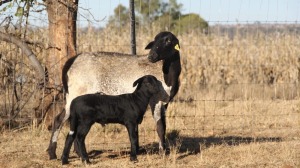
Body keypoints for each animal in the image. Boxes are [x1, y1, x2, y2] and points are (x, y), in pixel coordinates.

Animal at [48, 31, 182, 159]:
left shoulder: (165, 102)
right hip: (76, 93)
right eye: (154, 41)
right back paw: (54, 153)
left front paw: (165, 150)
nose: (151, 56)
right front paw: (162, 152)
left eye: (168, 40)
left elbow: (164, 126)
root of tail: (71, 61)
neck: (168, 75)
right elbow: (159, 126)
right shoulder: (156, 100)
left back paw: (70, 153)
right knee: (60, 119)